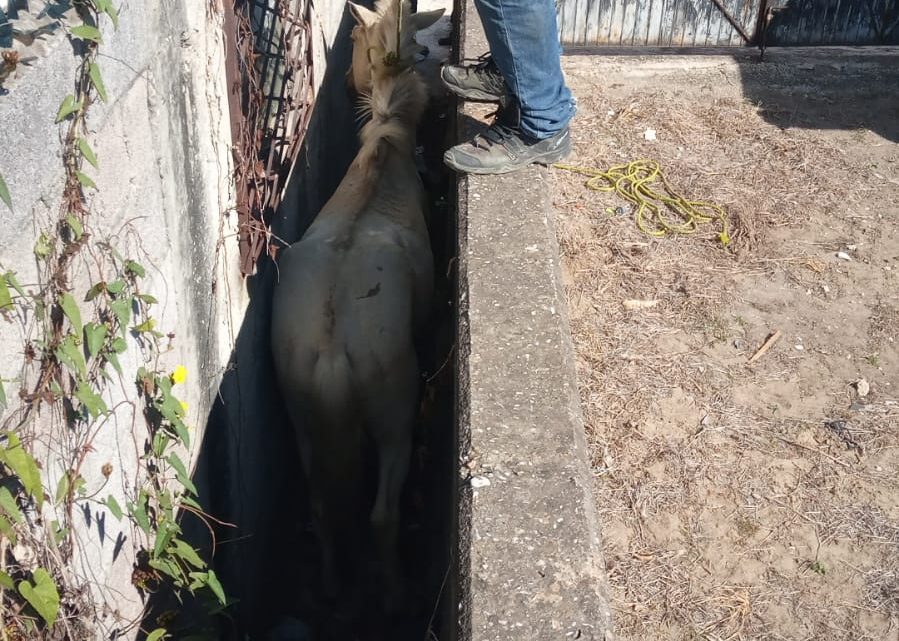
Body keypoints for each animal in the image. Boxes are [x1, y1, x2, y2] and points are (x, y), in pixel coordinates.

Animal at [270, 0, 446, 612]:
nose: (346, 82)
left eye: (352, 42)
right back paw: (392, 591)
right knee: (380, 515)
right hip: (394, 409)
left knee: (323, 507)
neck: (386, 147)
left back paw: (330, 585)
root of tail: (330, 351)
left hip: (300, 411)